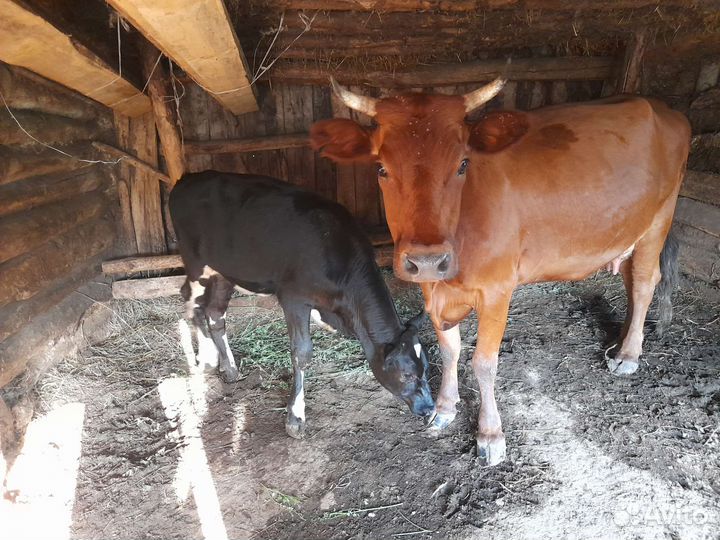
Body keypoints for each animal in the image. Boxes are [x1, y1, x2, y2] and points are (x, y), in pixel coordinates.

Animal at [169, 171, 435, 438]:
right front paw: (295, 417)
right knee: (191, 301)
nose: (429, 409)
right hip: (195, 263)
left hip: (224, 271)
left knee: (215, 313)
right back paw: (207, 359)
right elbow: (302, 353)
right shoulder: (294, 299)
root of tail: (188, 178)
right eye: (407, 375)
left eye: (426, 369)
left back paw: (230, 369)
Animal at [310, 78, 689, 465]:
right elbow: (450, 349)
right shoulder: (433, 289)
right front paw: (444, 408)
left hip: (659, 220)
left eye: (463, 164)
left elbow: (483, 362)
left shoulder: (496, 290)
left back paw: (628, 356)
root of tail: (662, 108)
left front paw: (490, 434)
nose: (427, 260)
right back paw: (622, 341)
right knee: (631, 282)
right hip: (627, 232)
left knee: (644, 283)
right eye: (381, 168)